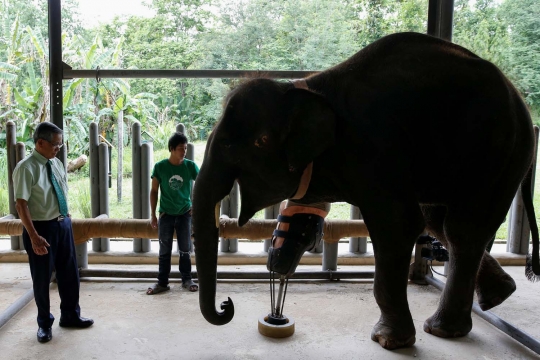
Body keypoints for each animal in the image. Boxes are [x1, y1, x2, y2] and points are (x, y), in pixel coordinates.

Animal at [191, 32, 540, 350]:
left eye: (257, 143)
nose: (226, 305)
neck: (305, 88)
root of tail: (519, 99)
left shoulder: (374, 148)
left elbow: (397, 225)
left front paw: (388, 341)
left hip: (499, 155)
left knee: (462, 228)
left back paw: (445, 328)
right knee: (441, 222)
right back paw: (494, 298)